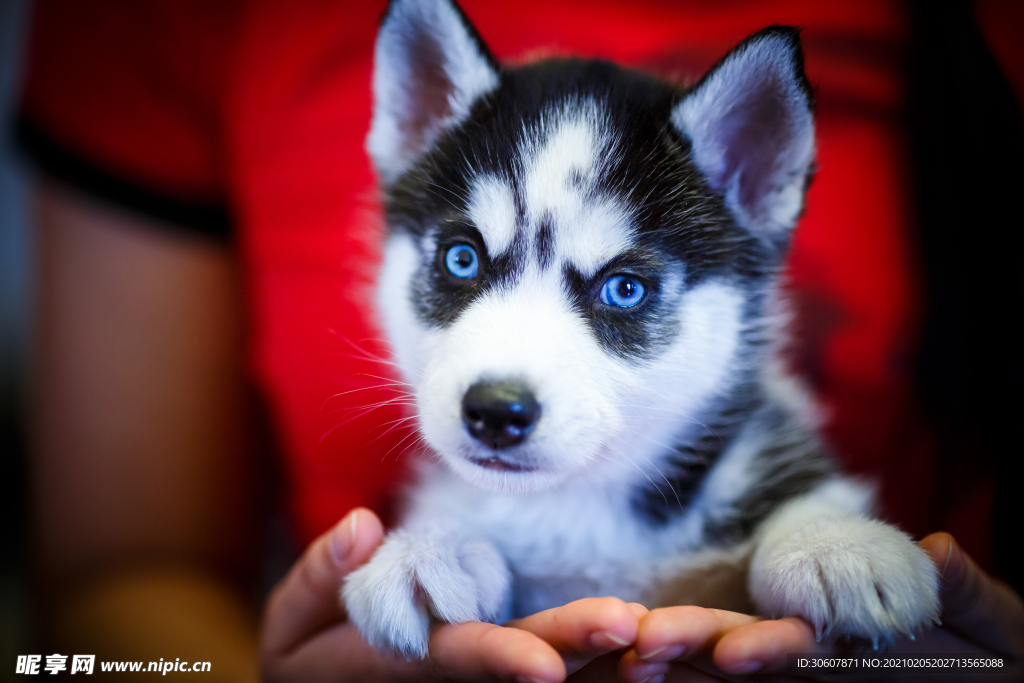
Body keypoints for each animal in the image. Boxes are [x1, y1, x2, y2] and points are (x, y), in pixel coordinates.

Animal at [342, 0, 937, 663]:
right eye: (461, 259)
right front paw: (431, 548)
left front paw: (832, 543)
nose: (496, 411)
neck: (581, 505)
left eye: (623, 289)